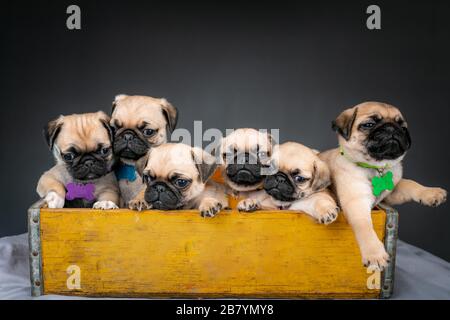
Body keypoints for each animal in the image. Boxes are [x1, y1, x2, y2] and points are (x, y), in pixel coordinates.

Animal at [320, 102, 446, 270]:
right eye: (369, 125)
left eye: (403, 127)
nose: (392, 128)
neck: (375, 167)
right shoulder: (357, 202)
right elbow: (365, 226)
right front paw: (374, 253)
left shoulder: (391, 193)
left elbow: (410, 183)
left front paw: (430, 193)